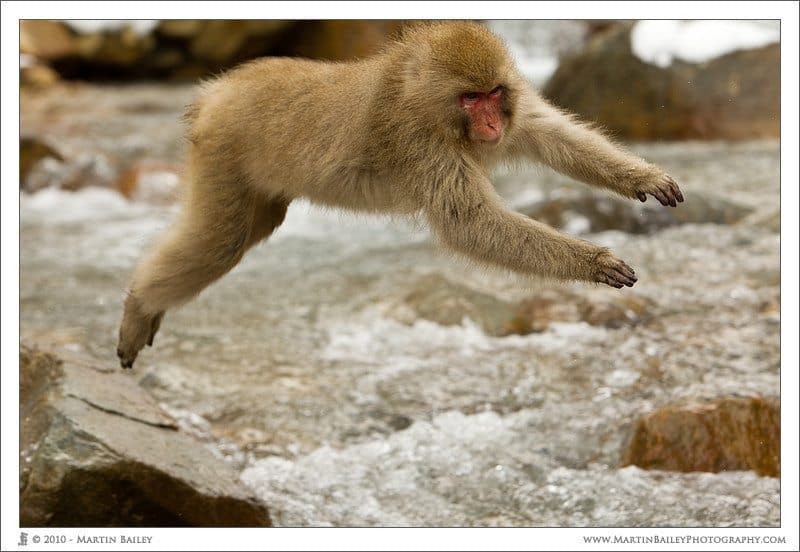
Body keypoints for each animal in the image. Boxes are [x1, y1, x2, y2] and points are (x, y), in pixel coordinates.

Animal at [117, 21, 680, 368]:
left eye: (494, 93)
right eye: (470, 98)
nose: (493, 124)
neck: (423, 96)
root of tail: (218, 90)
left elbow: (550, 134)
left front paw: (641, 179)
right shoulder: (419, 144)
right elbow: (468, 223)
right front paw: (595, 261)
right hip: (222, 153)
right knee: (222, 242)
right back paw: (140, 304)